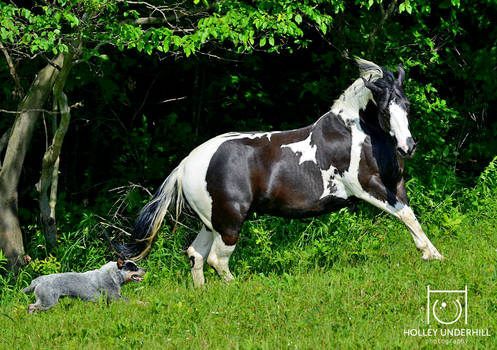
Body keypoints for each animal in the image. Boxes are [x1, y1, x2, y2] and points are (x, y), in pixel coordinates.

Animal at [116, 58, 442, 288]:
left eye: (407, 105)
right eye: (385, 110)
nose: (407, 147)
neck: (356, 133)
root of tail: (187, 163)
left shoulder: (394, 184)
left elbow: (410, 215)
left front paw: (433, 254)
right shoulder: (365, 186)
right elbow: (404, 215)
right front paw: (432, 255)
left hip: (212, 222)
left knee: (196, 254)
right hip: (230, 222)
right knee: (216, 260)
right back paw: (236, 289)